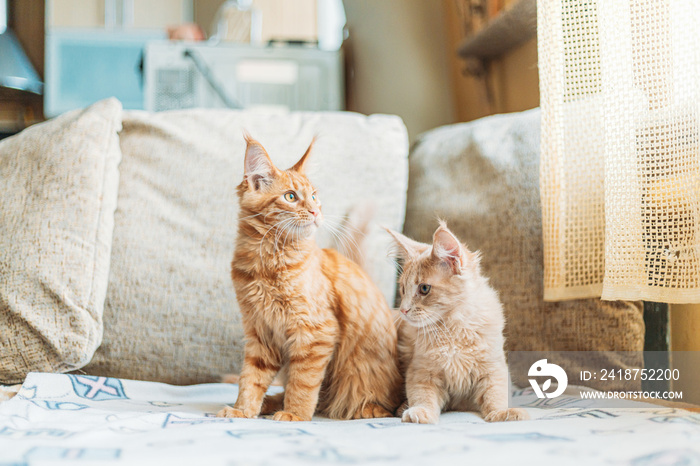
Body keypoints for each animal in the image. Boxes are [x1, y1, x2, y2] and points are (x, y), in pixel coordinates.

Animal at [219, 135, 404, 422]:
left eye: (315, 197)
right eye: (291, 196)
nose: (316, 212)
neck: (268, 265)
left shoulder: (315, 332)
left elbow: (303, 383)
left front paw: (295, 415)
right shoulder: (260, 332)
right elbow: (251, 378)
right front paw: (243, 410)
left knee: (375, 403)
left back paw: (367, 409)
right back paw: (270, 403)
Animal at [386, 224, 528, 424]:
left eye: (424, 288)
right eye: (403, 289)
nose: (403, 311)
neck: (453, 329)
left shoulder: (493, 368)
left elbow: (496, 394)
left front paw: (502, 412)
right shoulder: (421, 371)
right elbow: (422, 396)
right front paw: (420, 411)